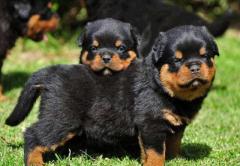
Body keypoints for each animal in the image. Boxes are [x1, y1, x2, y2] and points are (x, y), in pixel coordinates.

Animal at [5, 18, 141, 166]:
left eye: (121, 48)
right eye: (93, 48)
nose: (106, 57)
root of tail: (50, 71)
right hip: (61, 116)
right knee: (33, 135)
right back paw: (35, 161)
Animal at [135, 25, 219, 165]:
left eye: (204, 56)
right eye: (177, 60)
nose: (195, 67)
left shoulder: (178, 123)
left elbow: (175, 142)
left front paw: (175, 158)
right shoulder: (152, 122)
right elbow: (155, 151)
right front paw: (155, 163)